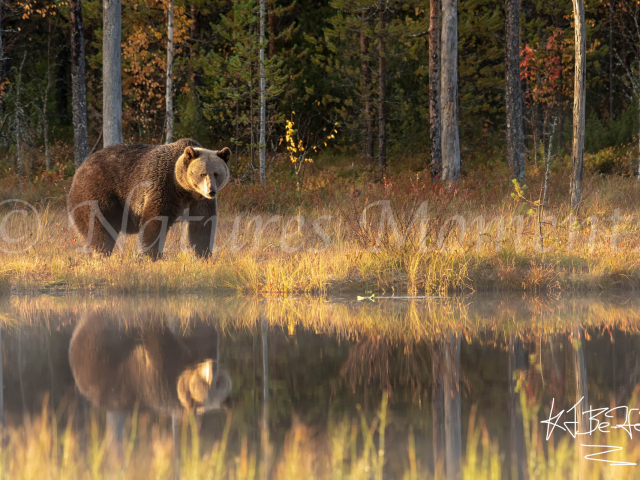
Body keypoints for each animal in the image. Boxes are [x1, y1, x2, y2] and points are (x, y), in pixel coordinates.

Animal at [67, 139, 230, 258]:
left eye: (216, 174)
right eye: (202, 174)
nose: (211, 191)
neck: (184, 189)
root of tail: (81, 167)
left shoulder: (200, 201)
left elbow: (203, 224)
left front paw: (203, 254)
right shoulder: (163, 187)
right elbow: (154, 221)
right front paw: (151, 255)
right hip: (97, 192)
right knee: (98, 226)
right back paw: (100, 253)